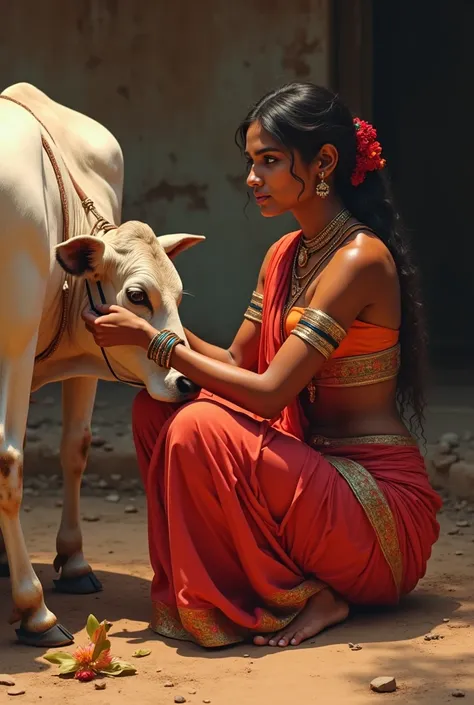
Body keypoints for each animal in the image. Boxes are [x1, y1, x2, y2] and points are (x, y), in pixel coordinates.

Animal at [0, 82, 202, 644]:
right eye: (136, 294)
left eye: (179, 292)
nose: (185, 381)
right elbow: (61, 450)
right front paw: (56, 582)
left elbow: (74, 449)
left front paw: (69, 562)